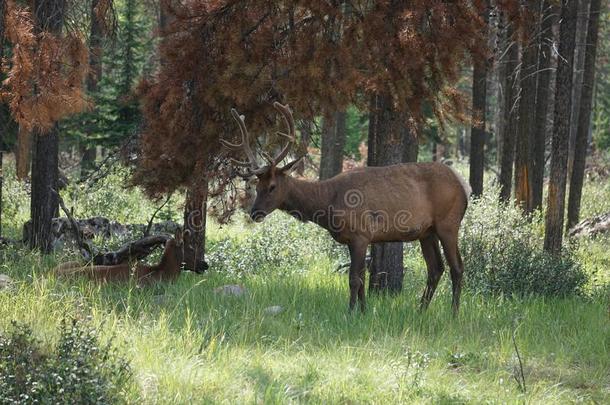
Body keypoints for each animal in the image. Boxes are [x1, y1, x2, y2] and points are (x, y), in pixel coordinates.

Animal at [223, 101, 470, 312]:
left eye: (272, 186)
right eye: (256, 185)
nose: (255, 212)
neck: (327, 203)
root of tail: (463, 186)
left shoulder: (361, 234)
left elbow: (353, 279)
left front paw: (350, 312)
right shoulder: (356, 239)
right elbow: (360, 279)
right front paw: (364, 311)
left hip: (448, 223)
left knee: (457, 267)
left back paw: (454, 313)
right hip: (426, 232)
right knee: (436, 268)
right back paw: (421, 310)